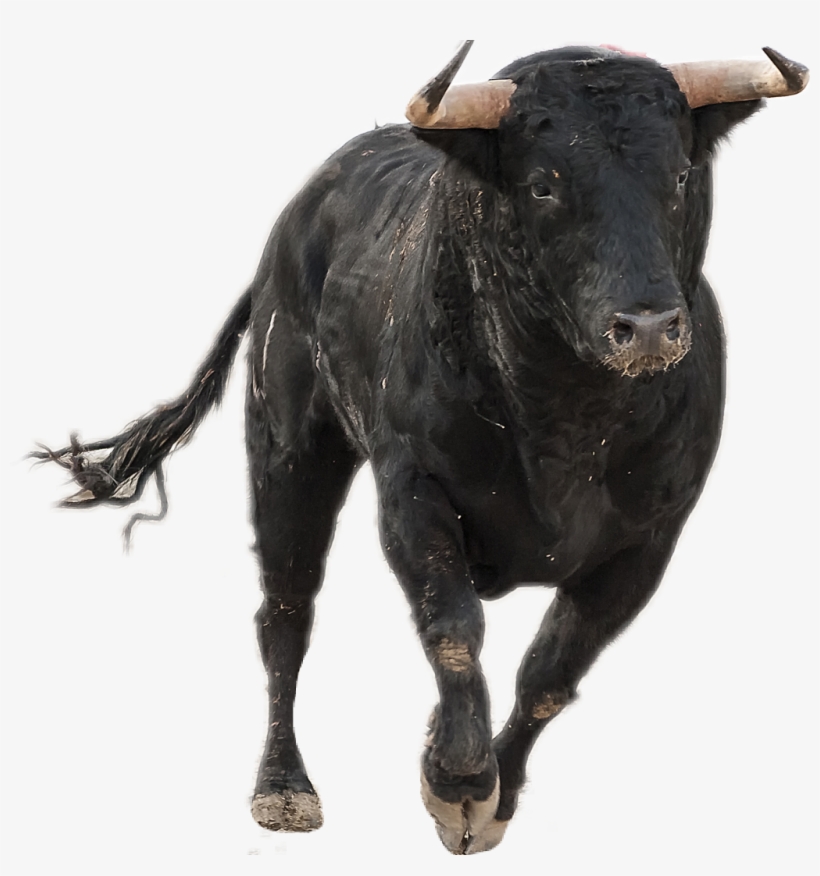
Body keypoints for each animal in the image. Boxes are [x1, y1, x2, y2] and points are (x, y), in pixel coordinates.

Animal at [33, 41, 809, 854]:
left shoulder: (649, 540)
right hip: (287, 452)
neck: (567, 419)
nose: (650, 327)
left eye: (682, 176)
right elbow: (455, 628)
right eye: (543, 185)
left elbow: (553, 670)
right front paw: (458, 785)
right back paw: (283, 787)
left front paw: (493, 796)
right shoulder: (412, 490)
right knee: (286, 614)